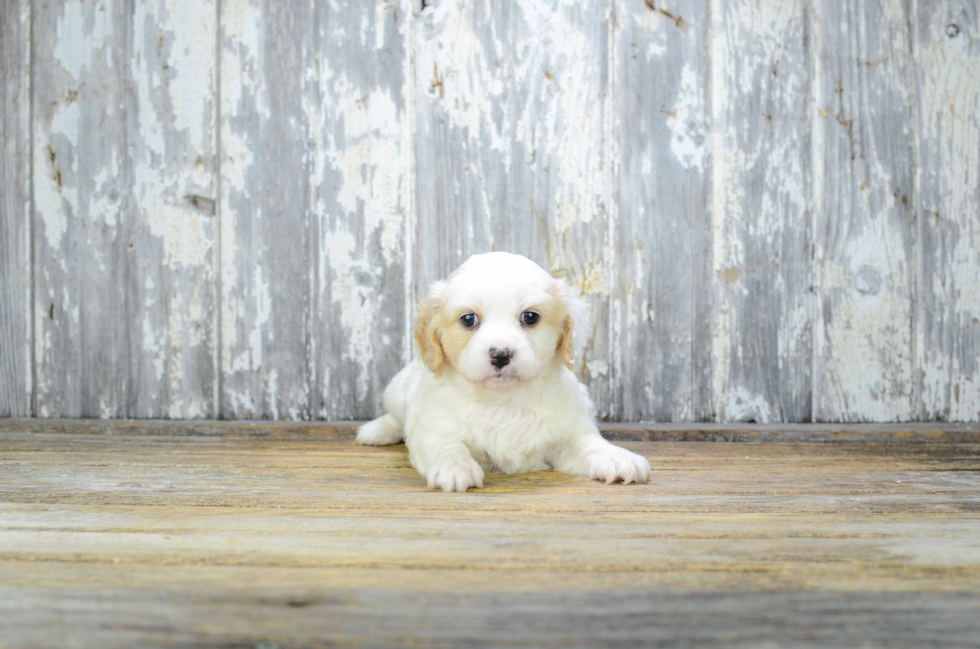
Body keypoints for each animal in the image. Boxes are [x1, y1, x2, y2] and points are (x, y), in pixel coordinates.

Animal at [354, 251, 652, 488]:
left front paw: (618, 458)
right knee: (396, 417)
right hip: (396, 390)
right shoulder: (432, 428)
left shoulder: (567, 433)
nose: (500, 354)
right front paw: (455, 468)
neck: (504, 399)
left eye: (530, 317)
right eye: (469, 319)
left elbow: (590, 443)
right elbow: (447, 444)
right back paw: (376, 431)